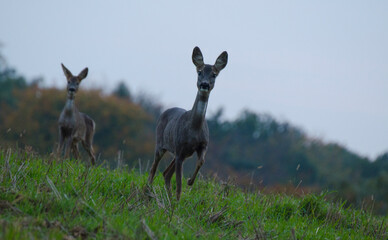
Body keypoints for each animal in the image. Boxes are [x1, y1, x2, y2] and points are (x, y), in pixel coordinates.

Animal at [148, 47, 227, 201]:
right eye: (199, 72)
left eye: (214, 74)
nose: (204, 84)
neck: (194, 129)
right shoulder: (179, 149)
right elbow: (179, 182)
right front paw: (178, 200)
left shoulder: (202, 145)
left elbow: (201, 161)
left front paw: (190, 181)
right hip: (161, 144)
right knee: (154, 169)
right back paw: (147, 192)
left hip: (181, 153)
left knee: (166, 173)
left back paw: (168, 198)